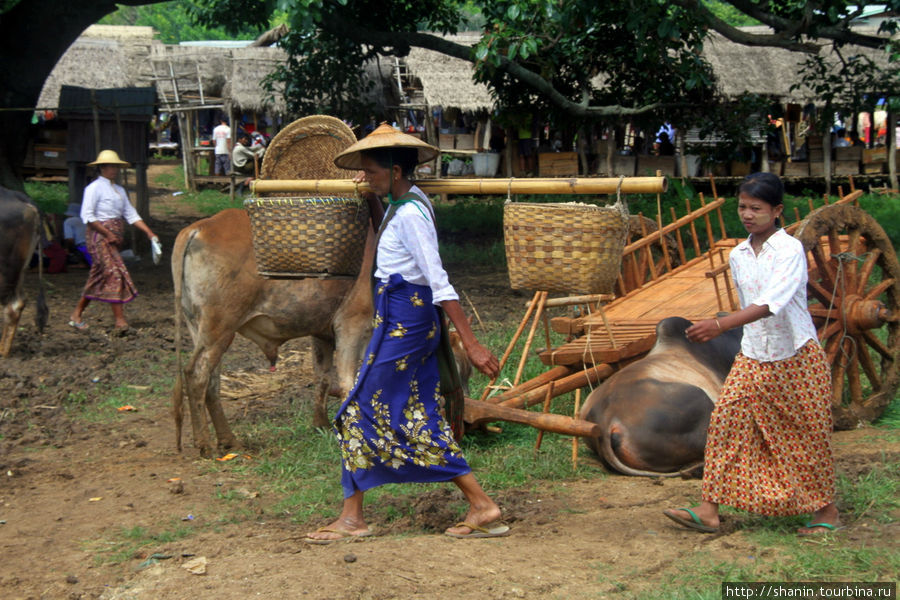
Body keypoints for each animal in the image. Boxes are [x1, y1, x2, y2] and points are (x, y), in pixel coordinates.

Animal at [171, 209, 374, 458]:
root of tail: (200, 227)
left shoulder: (322, 333)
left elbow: (323, 378)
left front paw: (322, 426)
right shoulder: (353, 324)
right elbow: (349, 383)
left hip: (201, 329)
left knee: (211, 383)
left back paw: (229, 441)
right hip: (218, 329)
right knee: (196, 375)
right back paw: (205, 445)